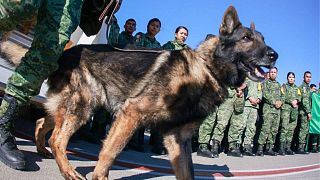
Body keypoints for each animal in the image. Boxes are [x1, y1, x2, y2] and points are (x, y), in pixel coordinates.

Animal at [1, 5, 278, 179]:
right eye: (246, 38)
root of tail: (64, 53)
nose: (274, 55)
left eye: (263, 39)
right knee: (58, 139)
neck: (206, 69)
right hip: (82, 107)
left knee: (42, 122)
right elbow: (109, 152)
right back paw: (68, 171)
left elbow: (187, 173)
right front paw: (99, 177)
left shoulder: (178, 140)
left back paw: (42, 150)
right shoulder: (131, 114)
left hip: (73, 106)